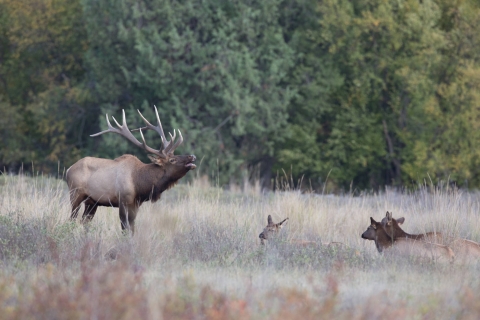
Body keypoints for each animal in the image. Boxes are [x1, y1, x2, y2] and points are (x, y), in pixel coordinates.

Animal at [66, 106, 197, 234]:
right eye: (172, 160)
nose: (192, 156)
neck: (140, 184)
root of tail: (68, 170)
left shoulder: (136, 204)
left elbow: (132, 229)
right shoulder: (123, 201)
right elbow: (125, 229)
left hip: (92, 202)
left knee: (84, 222)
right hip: (75, 194)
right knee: (72, 219)